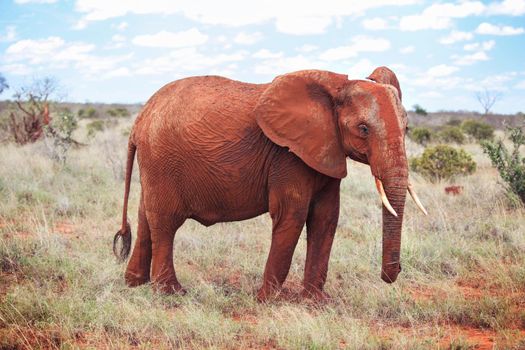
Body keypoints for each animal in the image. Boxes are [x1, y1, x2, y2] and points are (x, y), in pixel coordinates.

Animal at [113, 67, 426, 302]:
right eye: (363, 129)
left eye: (407, 128)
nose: (395, 272)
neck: (335, 90)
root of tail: (139, 121)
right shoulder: (287, 156)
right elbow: (292, 216)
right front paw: (268, 300)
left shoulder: (325, 151)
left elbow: (326, 218)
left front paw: (316, 302)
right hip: (162, 161)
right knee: (165, 222)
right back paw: (172, 293)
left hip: (154, 165)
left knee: (145, 217)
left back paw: (134, 284)